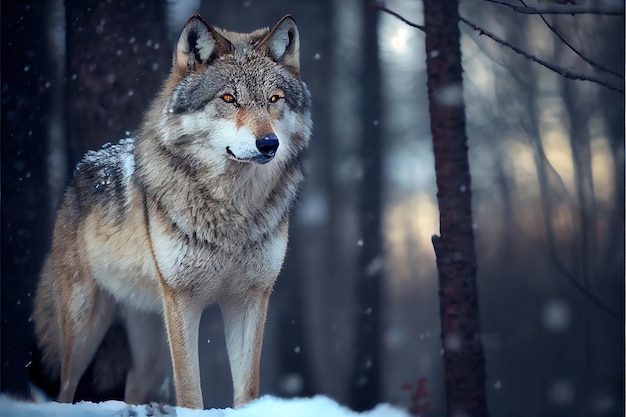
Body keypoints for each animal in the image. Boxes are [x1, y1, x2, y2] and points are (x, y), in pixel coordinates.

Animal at [31, 13, 310, 410]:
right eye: (229, 98)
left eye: (274, 99)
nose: (269, 143)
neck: (232, 213)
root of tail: (77, 174)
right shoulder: (183, 299)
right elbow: (190, 390)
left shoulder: (251, 298)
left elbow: (247, 389)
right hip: (86, 326)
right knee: (64, 391)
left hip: (149, 349)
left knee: (133, 390)